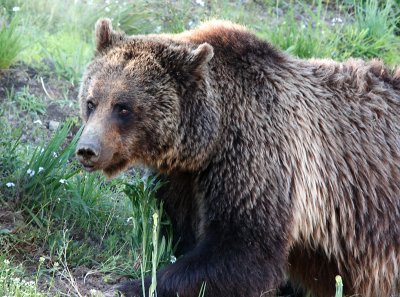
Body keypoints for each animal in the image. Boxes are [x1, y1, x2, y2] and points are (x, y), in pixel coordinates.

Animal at [76, 19, 400, 296]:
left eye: (123, 107)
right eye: (91, 101)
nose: (87, 149)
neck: (209, 139)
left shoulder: (258, 154)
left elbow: (242, 249)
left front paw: (131, 286)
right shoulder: (181, 177)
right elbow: (175, 228)